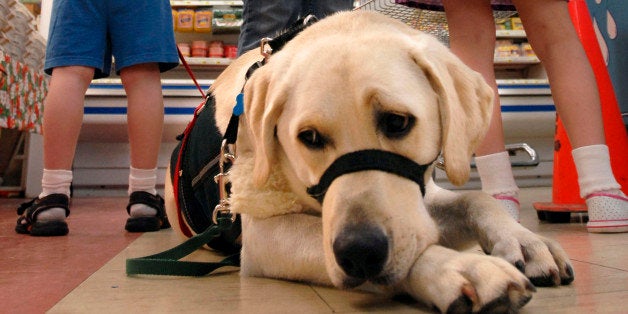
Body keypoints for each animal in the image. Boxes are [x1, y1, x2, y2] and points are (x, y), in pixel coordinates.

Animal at [166, 10, 576, 314]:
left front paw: (524, 240)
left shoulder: (421, 196)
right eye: (309, 138)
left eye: (397, 122)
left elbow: (476, 199)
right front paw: (459, 267)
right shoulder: (264, 236)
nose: (360, 252)